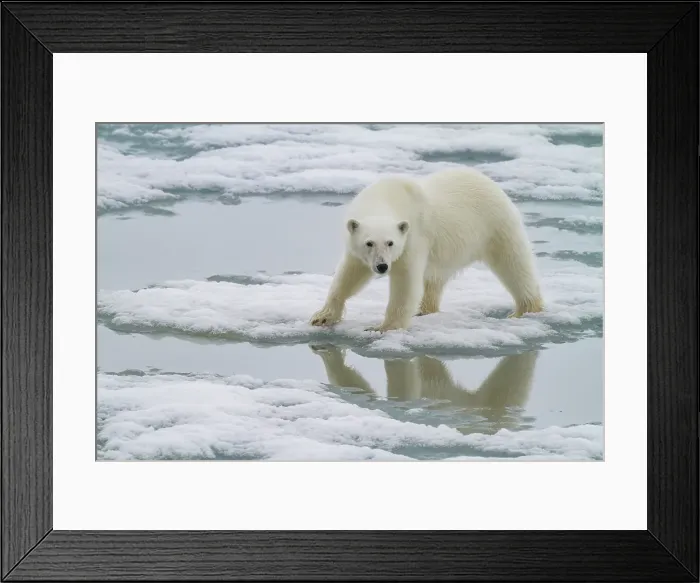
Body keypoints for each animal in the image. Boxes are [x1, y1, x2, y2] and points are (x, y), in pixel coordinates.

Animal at [309, 167, 544, 332]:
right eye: (369, 243)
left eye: (390, 242)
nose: (382, 266)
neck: (386, 196)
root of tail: (490, 181)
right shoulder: (357, 250)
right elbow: (349, 275)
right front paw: (322, 316)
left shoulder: (412, 237)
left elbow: (405, 282)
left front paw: (384, 327)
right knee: (434, 280)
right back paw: (426, 310)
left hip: (496, 226)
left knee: (514, 264)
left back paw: (525, 309)